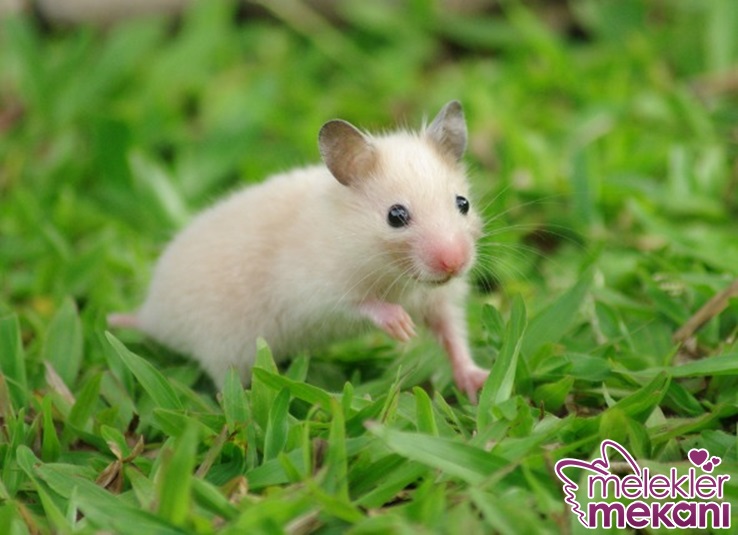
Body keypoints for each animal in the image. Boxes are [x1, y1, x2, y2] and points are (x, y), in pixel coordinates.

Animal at [109, 100, 490, 401]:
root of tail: (153, 314)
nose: (455, 264)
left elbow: (453, 337)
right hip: (223, 348)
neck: (397, 275)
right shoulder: (317, 292)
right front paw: (402, 328)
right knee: (223, 387)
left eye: (463, 203)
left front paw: (477, 381)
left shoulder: (438, 301)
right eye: (395, 216)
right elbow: (362, 305)